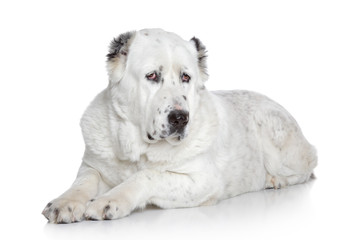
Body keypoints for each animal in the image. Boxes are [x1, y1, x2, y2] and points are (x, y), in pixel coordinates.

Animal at [43, 28, 318, 223]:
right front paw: (64, 203)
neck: (136, 148)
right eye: (152, 75)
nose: (180, 118)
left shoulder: (202, 181)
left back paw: (276, 180)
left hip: (274, 133)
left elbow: (148, 175)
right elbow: (82, 182)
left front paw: (109, 200)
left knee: (305, 169)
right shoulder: (92, 167)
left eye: (185, 77)